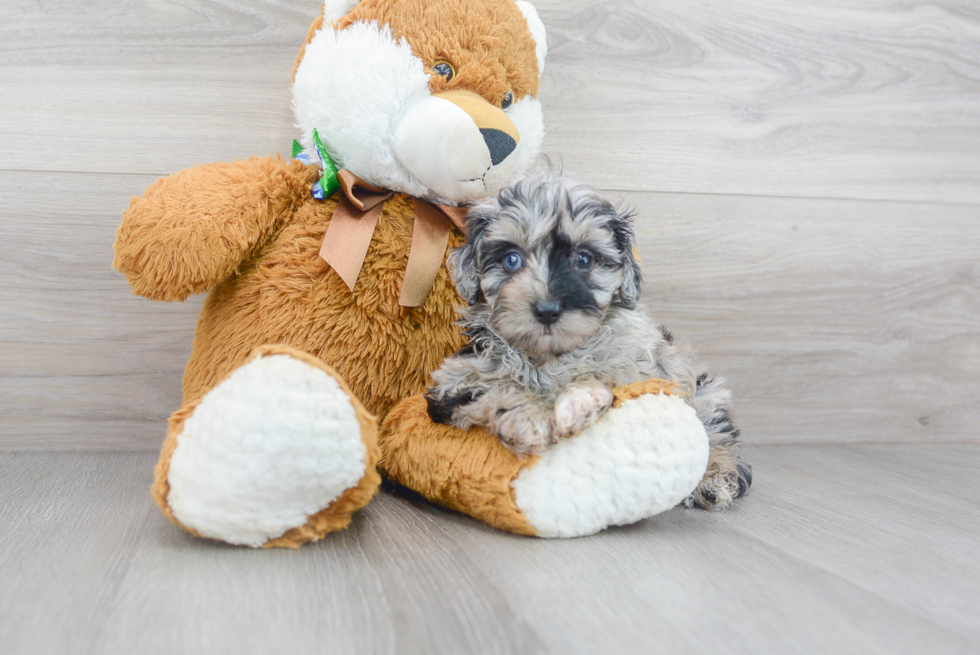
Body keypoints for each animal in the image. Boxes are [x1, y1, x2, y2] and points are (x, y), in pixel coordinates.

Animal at [424, 167, 756, 510]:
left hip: (704, 391)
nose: (547, 310)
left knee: (716, 432)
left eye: (583, 260)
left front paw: (578, 399)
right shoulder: (457, 379)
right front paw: (530, 419)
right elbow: (498, 389)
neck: (548, 357)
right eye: (512, 259)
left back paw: (714, 479)